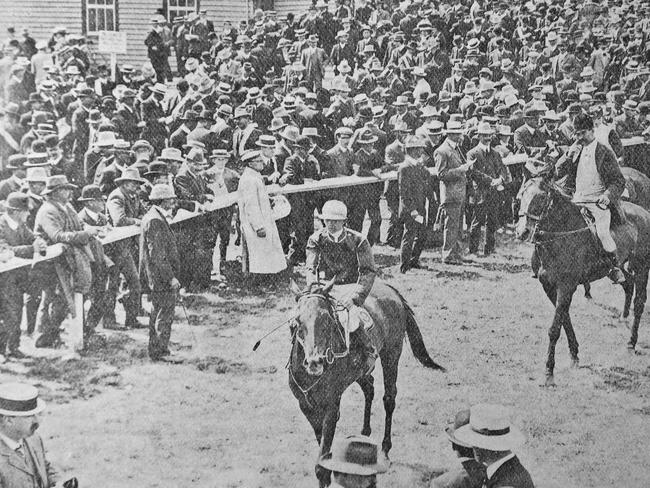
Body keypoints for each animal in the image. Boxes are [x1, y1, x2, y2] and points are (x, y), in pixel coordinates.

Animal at [288, 276, 442, 486]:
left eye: (327, 319)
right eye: (297, 321)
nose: (314, 362)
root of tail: (391, 291)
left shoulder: (331, 408)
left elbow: (321, 464)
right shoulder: (307, 408)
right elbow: (322, 448)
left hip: (391, 356)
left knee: (389, 399)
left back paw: (385, 449)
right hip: (361, 372)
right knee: (369, 388)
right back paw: (364, 433)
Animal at [516, 175, 650, 386]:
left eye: (541, 198)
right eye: (521, 196)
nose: (521, 232)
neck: (562, 233)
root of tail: (644, 212)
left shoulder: (565, 287)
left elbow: (555, 328)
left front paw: (549, 372)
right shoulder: (550, 287)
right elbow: (565, 320)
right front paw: (574, 354)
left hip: (643, 267)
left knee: (639, 302)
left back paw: (631, 342)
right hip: (624, 266)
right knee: (628, 284)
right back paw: (624, 316)